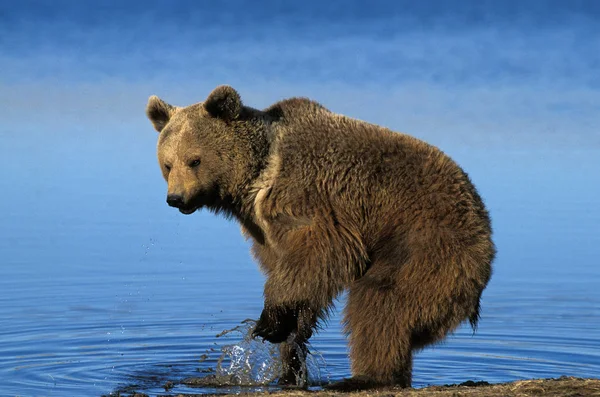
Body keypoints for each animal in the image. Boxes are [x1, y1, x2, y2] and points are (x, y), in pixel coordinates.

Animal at [146, 86, 496, 386]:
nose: (176, 198)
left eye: (194, 160)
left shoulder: (309, 196)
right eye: (167, 163)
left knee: (382, 302)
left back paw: (366, 377)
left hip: (427, 242)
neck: (257, 176)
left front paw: (268, 321)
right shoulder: (262, 227)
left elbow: (323, 251)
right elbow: (298, 276)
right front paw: (290, 344)